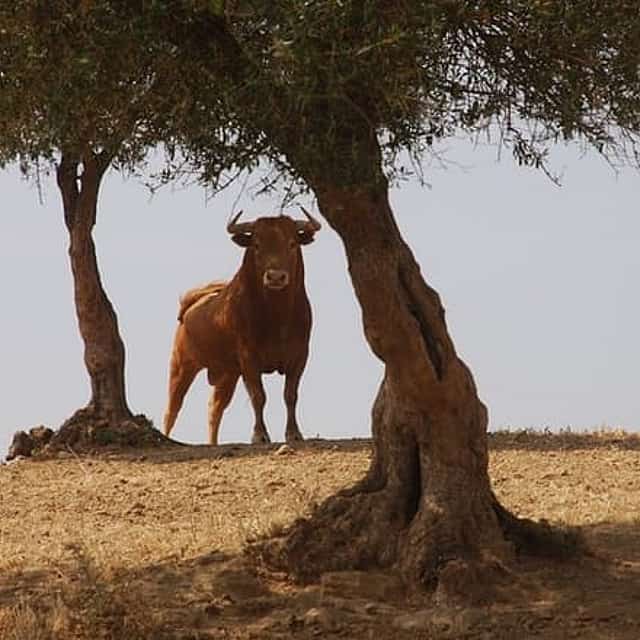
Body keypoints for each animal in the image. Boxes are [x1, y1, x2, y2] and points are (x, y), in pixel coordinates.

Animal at [163, 209, 321, 445]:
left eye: (292, 243)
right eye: (256, 244)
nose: (275, 277)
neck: (278, 316)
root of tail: (192, 304)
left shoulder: (299, 356)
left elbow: (290, 395)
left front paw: (294, 434)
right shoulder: (249, 358)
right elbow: (258, 396)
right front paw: (260, 435)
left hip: (228, 374)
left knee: (215, 408)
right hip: (181, 366)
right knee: (172, 410)